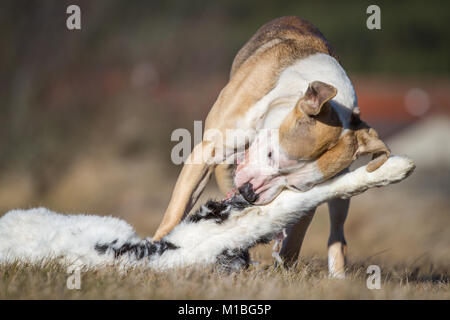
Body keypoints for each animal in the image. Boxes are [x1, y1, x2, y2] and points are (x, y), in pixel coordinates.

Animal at [152, 16, 390, 278]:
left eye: (296, 186)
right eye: (270, 155)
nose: (249, 193)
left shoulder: (312, 193)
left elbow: (296, 235)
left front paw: (283, 270)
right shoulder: (208, 151)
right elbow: (178, 209)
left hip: (342, 194)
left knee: (337, 231)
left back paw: (337, 277)